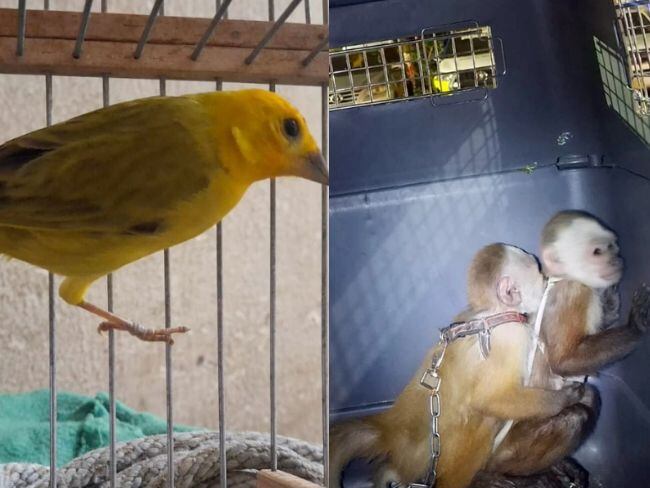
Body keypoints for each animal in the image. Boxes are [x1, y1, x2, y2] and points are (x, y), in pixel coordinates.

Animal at [330, 243, 585, 488]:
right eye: (539, 273)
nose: (546, 279)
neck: (491, 315)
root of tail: (393, 430)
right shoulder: (512, 337)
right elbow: (489, 400)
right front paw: (565, 397)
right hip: (442, 455)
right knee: (486, 417)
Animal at [486, 210, 650, 477]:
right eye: (597, 251)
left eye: (612, 245)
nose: (616, 260)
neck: (558, 279)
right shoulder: (573, 294)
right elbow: (564, 362)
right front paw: (635, 326)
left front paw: (611, 300)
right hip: (513, 449)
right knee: (576, 416)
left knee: (589, 397)